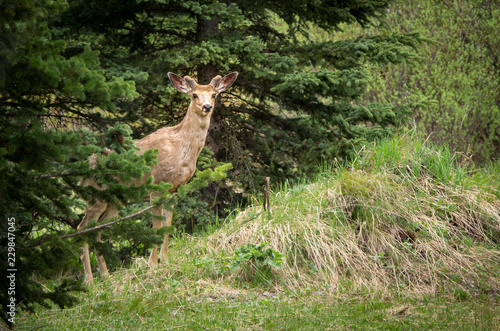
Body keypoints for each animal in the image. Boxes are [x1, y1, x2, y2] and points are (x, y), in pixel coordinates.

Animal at [78, 71, 238, 284]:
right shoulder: (156, 185)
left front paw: (166, 262)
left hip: (113, 202)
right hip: (96, 197)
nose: (207, 106)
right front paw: (152, 265)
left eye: (213, 95)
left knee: (97, 230)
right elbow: (156, 226)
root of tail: (83, 168)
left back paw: (105, 276)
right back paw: (89, 280)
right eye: (194, 95)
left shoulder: (175, 190)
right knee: (81, 227)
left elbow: (167, 226)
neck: (182, 150)